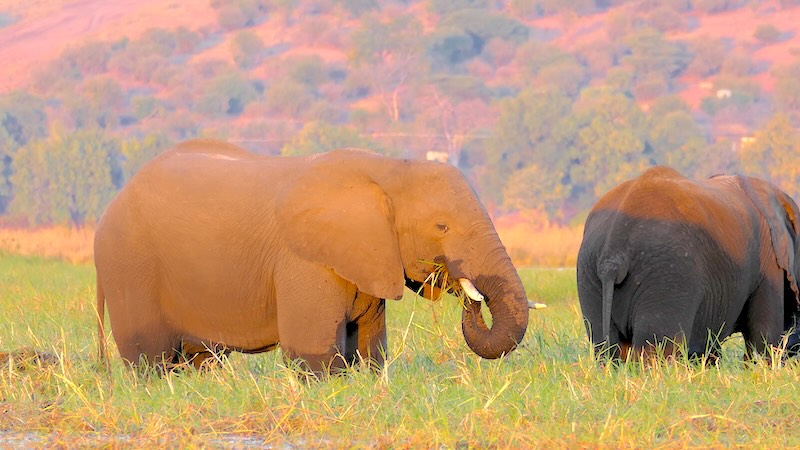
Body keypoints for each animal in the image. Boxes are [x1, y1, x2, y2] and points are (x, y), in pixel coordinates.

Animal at [94, 138, 531, 374]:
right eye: (442, 227)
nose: (468, 296)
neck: (388, 169)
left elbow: (370, 351)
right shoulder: (302, 262)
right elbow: (314, 355)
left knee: (199, 361)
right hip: (129, 265)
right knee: (150, 360)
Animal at [577, 166, 800, 363]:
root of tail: (613, 252)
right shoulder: (769, 260)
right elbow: (764, 334)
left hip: (589, 272)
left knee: (606, 346)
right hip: (668, 276)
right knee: (657, 349)